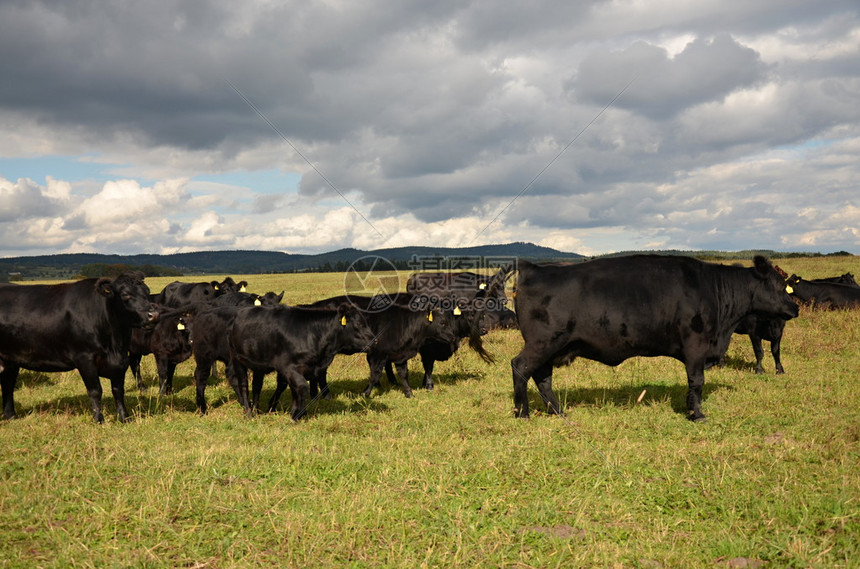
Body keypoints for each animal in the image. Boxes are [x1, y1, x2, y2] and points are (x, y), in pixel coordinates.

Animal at [0, 272, 158, 424]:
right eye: (125, 294)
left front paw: (125, 418)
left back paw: (11, 416)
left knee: (8, 385)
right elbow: (95, 391)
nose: (154, 314)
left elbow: (118, 390)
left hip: (10, 361)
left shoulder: (121, 360)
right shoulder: (84, 358)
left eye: (147, 291)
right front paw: (99, 420)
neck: (114, 344)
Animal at [228, 304, 376, 420]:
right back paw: (248, 412)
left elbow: (294, 390)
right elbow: (302, 387)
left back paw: (256, 410)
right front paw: (296, 415)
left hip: (258, 364)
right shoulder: (289, 368)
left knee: (257, 386)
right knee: (243, 385)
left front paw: (297, 412)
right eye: (359, 324)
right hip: (237, 359)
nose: (374, 340)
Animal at [508, 255, 796, 420]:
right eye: (779, 286)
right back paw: (522, 413)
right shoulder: (696, 345)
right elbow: (697, 381)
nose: (796, 308)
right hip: (543, 343)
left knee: (543, 377)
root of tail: (534, 268)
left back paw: (558, 412)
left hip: (552, 347)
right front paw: (697, 414)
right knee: (520, 367)